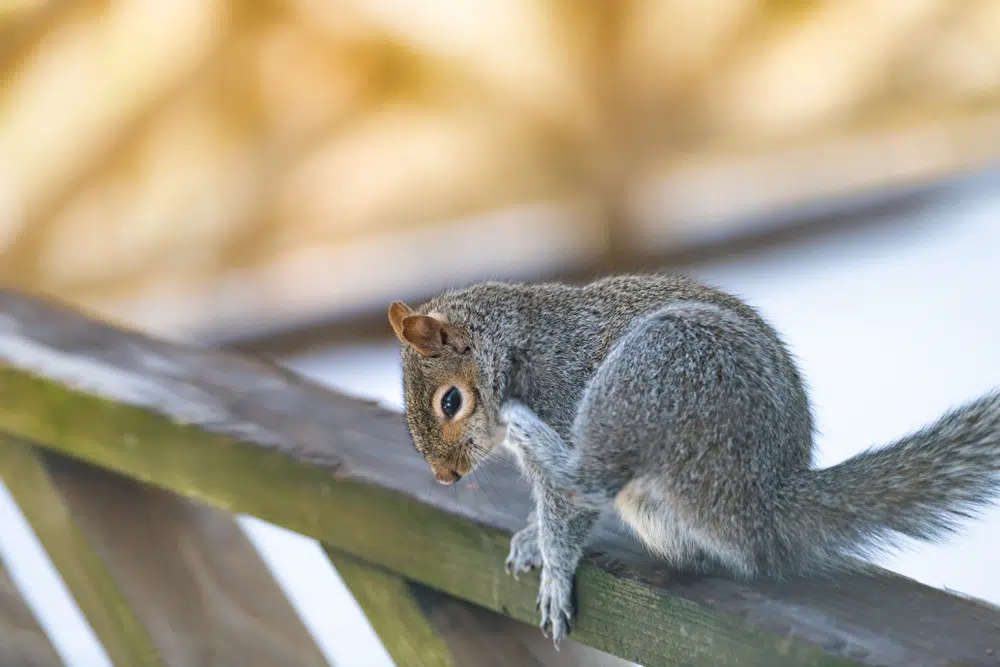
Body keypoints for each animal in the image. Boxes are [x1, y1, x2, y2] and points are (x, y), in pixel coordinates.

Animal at [388, 273, 1000, 645]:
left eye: (450, 402)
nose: (445, 478)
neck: (517, 348)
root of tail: (764, 498)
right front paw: (530, 538)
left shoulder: (561, 398)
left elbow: (570, 508)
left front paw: (555, 576)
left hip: (667, 369)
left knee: (591, 478)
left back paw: (528, 428)